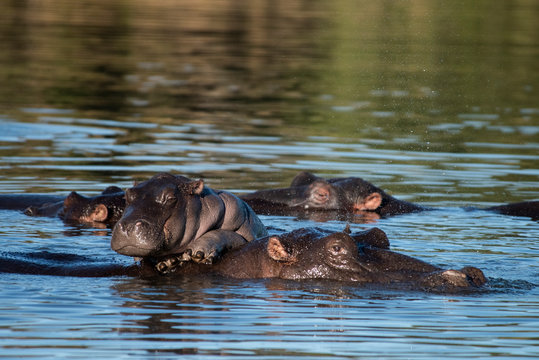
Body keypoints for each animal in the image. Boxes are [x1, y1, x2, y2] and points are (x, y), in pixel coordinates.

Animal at [111, 172, 268, 268]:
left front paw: (199, 252)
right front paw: (167, 262)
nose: (128, 226)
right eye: (128, 194)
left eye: (171, 198)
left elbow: (226, 234)